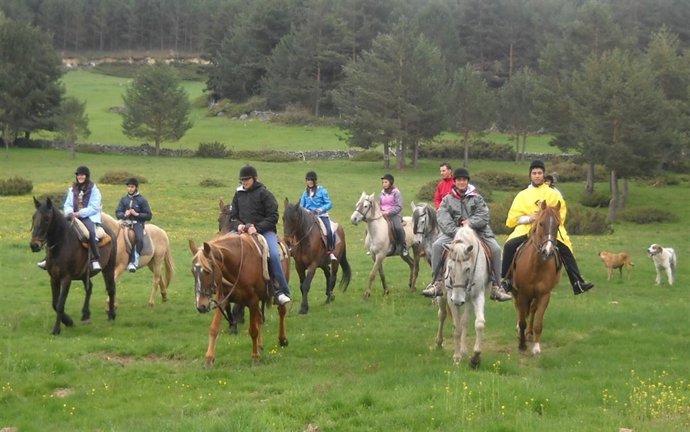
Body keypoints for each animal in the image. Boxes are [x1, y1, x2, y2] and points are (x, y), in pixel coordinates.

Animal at [29, 197, 117, 335]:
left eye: (47, 219)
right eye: (34, 217)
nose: (34, 245)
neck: (62, 243)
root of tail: (110, 232)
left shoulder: (66, 279)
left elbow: (60, 304)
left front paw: (57, 329)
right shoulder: (54, 278)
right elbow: (55, 303)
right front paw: (69, 322)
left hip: (108, 267)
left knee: (111, 288)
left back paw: (111, 315)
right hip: (84, 274)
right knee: (89, 288)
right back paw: (86, 315)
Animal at [189, 233, 289, 366]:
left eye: (208, 271)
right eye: (193, 271)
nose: (201, 305)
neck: (238, 266)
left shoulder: (252, 300)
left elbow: (253, 330)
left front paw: (255, 357)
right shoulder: (223, 299)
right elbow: (214, 328)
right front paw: (209, 359)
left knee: (281, 312)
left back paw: (282, 339)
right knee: (259, 317)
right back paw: (259, 345)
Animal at [435, 225, 488, 365]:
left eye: (468, 269)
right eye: (450, 267)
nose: (458, 301)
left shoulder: (475, 296)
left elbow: (477, 323)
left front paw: (475, 357)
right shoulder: (450, 298)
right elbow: (457, 328)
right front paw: (457, 356)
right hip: (442, 296)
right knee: (442, 315)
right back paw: (439, 342)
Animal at [509, 201, 563, 355]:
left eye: (557, 225)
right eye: (541, 224)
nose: (547, 251)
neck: (537, 266)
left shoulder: (544, 295)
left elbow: (539, 322)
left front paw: (536, 348)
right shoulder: (522, 294)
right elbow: (522, 321)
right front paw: (521, 345)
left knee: (532, 309)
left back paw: (529, 334)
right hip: (516, 292)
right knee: (518, 309)